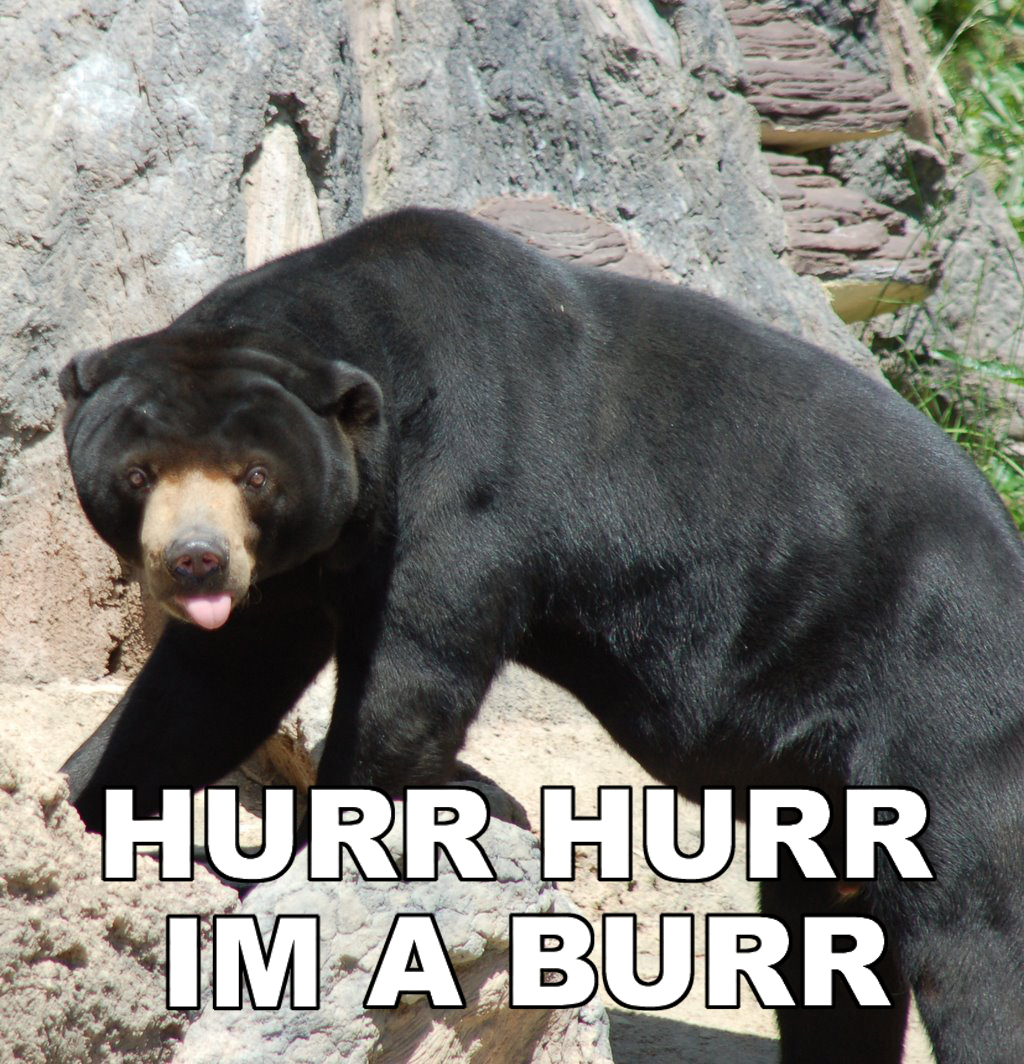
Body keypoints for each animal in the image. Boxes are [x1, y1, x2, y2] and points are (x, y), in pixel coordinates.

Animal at [59, 207, 1024, 1063]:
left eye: (255, 475)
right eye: (137, 473)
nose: (197, 561)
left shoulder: (467, 480)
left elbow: (411, 677)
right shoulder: (293, 571)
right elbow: (212, 688)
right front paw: (84, 801)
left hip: (939, 702)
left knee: (972, 937)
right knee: (826, 936)